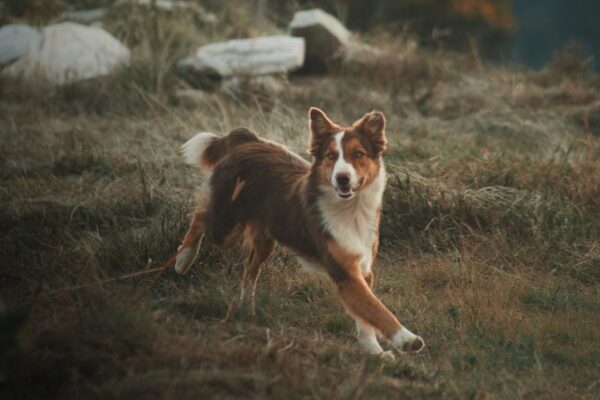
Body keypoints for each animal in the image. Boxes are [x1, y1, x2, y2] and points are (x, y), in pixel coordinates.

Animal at [176, 107, 424, 360]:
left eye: (358, 154)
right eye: (331, 156)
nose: (342, 178)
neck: (351, 209)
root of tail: (246, 139)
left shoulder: (363, 269)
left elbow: (365, 317)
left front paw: (373, 351)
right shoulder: (345, 271)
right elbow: (376, 309)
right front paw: (406, 339)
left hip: (265, 239)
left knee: (249, 268)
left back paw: (247, 307)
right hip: (224, 227)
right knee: (200, 215)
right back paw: (183, 259)